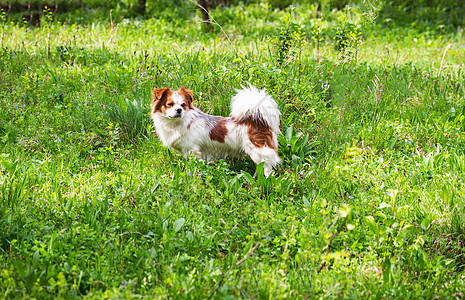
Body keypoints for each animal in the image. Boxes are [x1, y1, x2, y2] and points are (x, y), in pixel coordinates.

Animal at [150, 85, 280, 176]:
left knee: (268, 168)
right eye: (170, 104)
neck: (176, 123)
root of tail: (258, 120)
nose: (179, 110)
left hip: (258, 150)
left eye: (183, 105)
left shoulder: (192, 150)